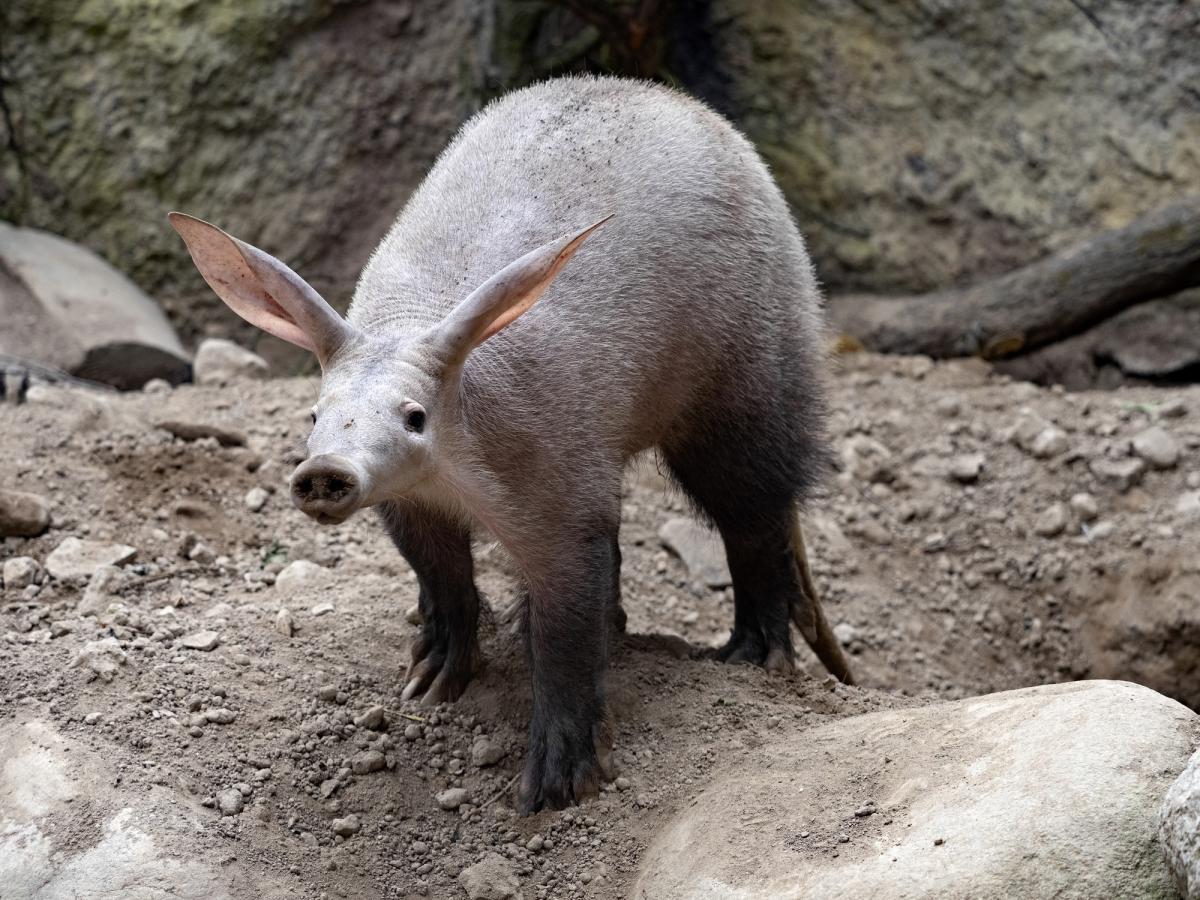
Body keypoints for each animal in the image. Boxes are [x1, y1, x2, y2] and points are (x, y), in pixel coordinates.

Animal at [169, 75, 852, 813]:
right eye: (315, 414)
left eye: (415, 417)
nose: (325, 472)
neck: (455, 466)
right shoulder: (412, 503)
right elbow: (441, 575)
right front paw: (437, 671)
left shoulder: (558, 489)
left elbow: (567, 629)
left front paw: (559, 775)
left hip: (747, 373)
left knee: (753, 510)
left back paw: (755, 653)